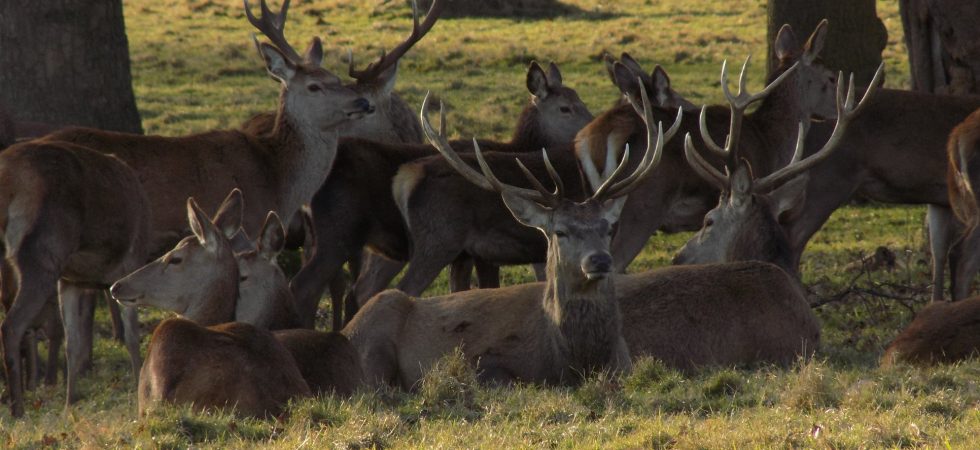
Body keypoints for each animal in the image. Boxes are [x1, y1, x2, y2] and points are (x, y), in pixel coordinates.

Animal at [289, 61, 595, 329]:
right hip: (344, 233)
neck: (518, 147)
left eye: (581, 98)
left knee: (350, 290)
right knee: (314, 287)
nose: (591, 128)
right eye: (565, 108)